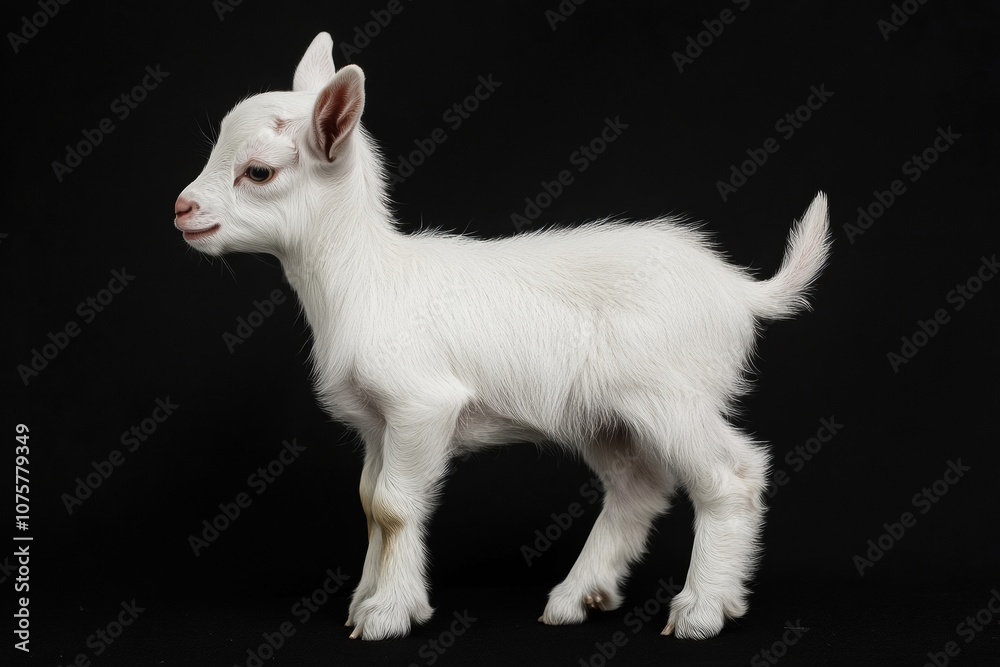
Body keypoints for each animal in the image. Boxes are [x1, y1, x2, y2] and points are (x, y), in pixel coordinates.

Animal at [174, 32, 831, 641]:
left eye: (259, 172)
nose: (182, 210)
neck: (369, 280)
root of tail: (739, 290)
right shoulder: (378, 422)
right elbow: (369, 502)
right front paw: (367, 601)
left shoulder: (422, 404)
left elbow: (393, 505)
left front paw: (387, 614)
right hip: (607, 416)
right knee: (636, 488)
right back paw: (578, 596)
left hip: (672, 394)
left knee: (731, 477)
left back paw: (702, 609)